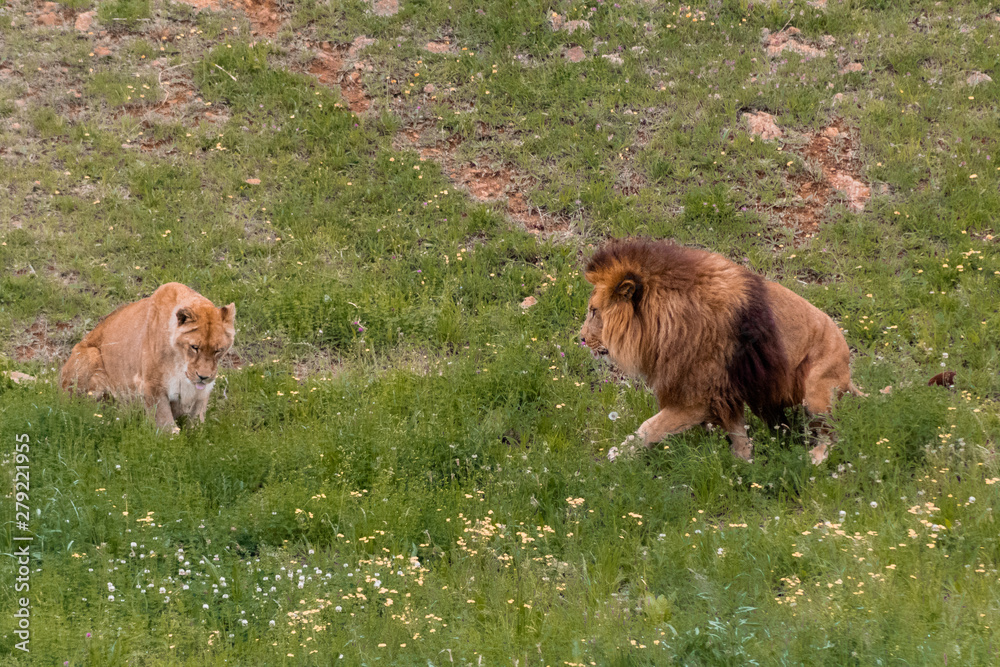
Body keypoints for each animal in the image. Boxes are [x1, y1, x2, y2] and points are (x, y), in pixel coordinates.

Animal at [60, 283, 236, 433]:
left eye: (218, 350)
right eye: (194, 347)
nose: (203, 377)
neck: (181, 364)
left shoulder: (202, 391)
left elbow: (197, 420)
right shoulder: (151, 384)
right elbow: (165, 422)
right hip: (91, 356)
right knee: (83, 407)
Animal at [579, 239, 864, 464]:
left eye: (594, 311)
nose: (580, 338)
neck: (665, 319)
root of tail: (848, 367)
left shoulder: (698, 394)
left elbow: (651, 426)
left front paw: (619, 453)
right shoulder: (722, 390)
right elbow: (737, 433)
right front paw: (744, 464)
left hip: (816, 392)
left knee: (834, 433)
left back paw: (815, 458)